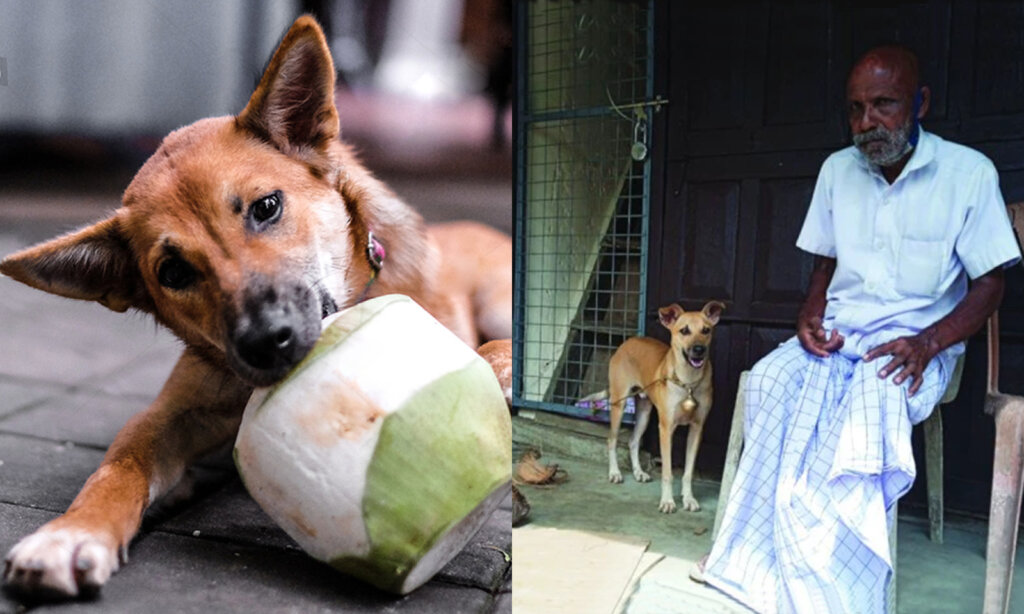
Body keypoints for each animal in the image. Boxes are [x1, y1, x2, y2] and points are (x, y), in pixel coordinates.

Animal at [0, 15, 512, 597]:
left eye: (267, 207)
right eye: (172, 273)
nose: (267, 342)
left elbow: (498, 351)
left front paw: (496, 375)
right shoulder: (170, 413)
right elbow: (119, 466)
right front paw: (71, 532)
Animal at [602, 302, 724, 513]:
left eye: (706, 330)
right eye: (684, 330)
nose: (699, 349)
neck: (688, 383)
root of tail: (629, 341)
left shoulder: (697, 428)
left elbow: (688, 472)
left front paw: (688, 498)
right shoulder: (666, 429)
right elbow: (667, 472)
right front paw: (668, 501)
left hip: (644, 412)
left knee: (633, 441)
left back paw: (639, 472)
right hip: (619, 403)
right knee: (612, 439)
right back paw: (615, 473)